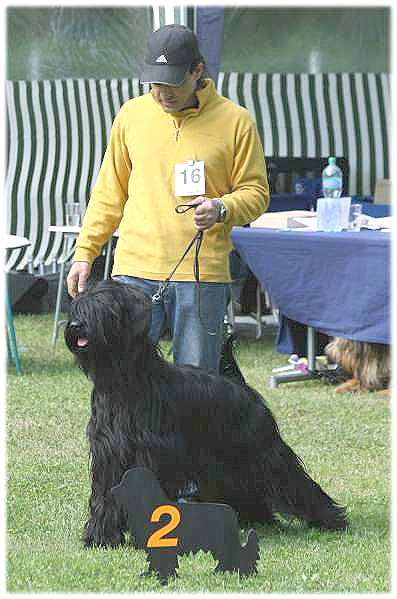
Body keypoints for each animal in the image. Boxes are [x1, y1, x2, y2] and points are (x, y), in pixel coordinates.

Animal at [64, 282, 346, 548]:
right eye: (78, 305)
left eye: (104, 307)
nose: (76, 326)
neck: (123, 380)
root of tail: (239, 384)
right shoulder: (108, 456)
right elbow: (104, 497)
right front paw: (100, 537)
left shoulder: (145, 456)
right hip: (224, 463)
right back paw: (257, 517)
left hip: (263, 451)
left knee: (296, 481)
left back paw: (331, 519)